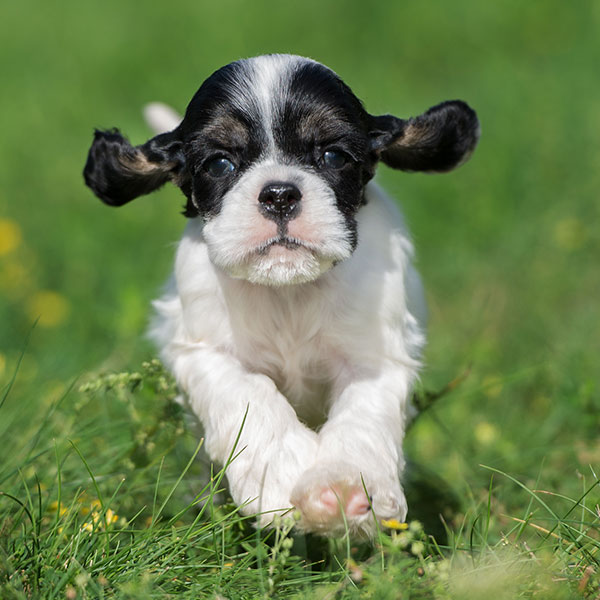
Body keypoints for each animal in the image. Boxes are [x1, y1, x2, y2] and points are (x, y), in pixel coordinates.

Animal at [83, 54, 478, 536]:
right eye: (219, 164)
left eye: (333, 155)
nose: (278, 194)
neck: (287, 292)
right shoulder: (205, 349)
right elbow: (248, 394)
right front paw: (281, 473)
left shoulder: (374, 356)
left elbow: (362, 415)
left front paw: (344, 490)